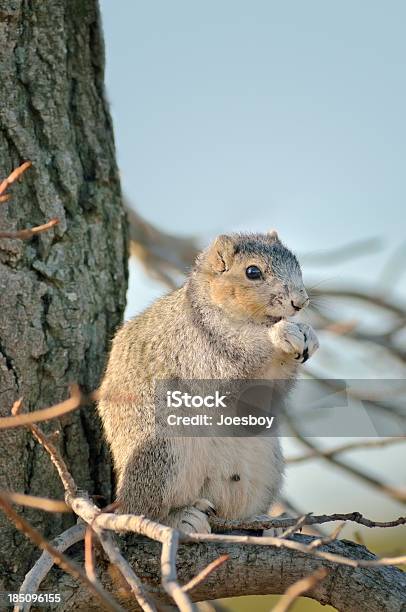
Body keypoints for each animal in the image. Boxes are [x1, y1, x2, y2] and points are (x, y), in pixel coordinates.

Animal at [96, 232, 318, 532]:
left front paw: (307, 333)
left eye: (297, 263)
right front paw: (280, 333)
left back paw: (264, 522)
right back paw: (179, 518)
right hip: (163, 456)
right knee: (143, 512)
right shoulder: (194, 344)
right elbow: (232, 359)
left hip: (264, 466)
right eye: (252, 272)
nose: (300, 302)